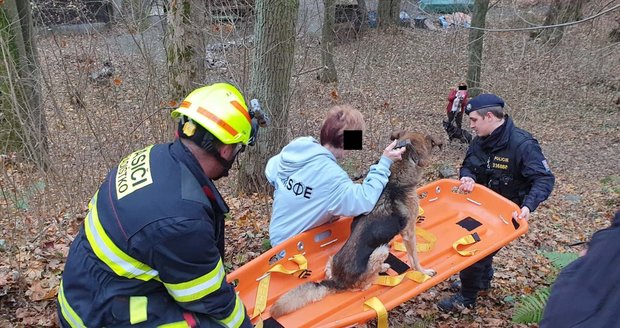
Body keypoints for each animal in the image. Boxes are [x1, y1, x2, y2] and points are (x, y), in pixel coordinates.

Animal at [270, 130, 440, 318]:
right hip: (381, 250)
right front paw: (423, 272)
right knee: (365, 284)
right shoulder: (409, 231)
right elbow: (414, 257)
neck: (395, 177)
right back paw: (381, 271)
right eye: (429, 142)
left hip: (333, 260)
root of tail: (337, 282)